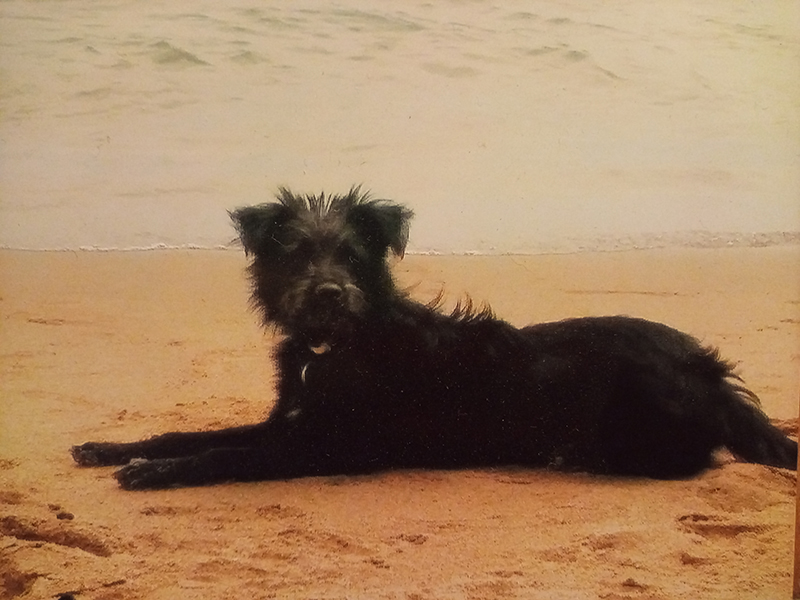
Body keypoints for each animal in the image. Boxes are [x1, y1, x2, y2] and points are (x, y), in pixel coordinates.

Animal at [72, 186, 796, 488]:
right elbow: (189, 434)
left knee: (692, 459)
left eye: (353, 255)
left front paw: (155, 473)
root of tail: (708, 369)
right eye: (298, 254)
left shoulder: (336, 445)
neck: (337, 346)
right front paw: (114, 448)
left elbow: (227, 455)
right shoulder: (289, 421)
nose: (328, 293)